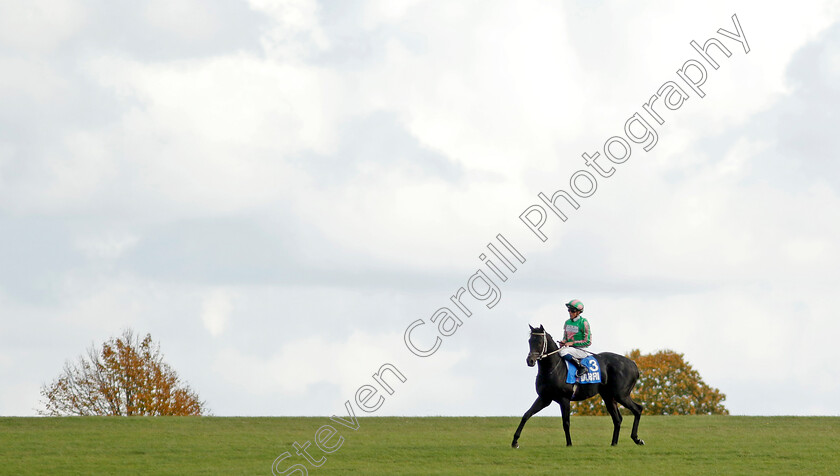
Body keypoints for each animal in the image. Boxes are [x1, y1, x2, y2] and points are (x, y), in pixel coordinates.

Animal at [512, 324, 644, 446]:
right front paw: (515, 441)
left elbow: (566, 423)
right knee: (617, 419)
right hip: (608, 396)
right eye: (530, 341)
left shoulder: (564, 399)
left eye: (539, 342)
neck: (553, 369)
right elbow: (526, 415)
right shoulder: (544, 398)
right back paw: (614, 443)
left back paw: (637, 439)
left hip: (621, 395)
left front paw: (569, 444)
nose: (530, 361)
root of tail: (633, 364)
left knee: (638, 409)